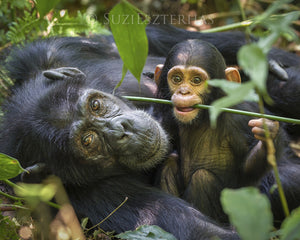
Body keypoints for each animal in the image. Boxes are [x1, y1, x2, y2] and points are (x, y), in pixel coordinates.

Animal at [0, 37, 239, 240]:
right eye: (88, 141)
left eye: (95, 105)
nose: (122, 129)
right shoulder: (92, 195)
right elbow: (204, 232)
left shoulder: (60, 50)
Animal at [155, 39, 300, 225]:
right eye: (177, 79)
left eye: (196, 80)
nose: (183, 91)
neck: (204, 117)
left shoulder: (240, 119)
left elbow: (247, 170)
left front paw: (269, 135)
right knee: (170, 163)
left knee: (202, 178)